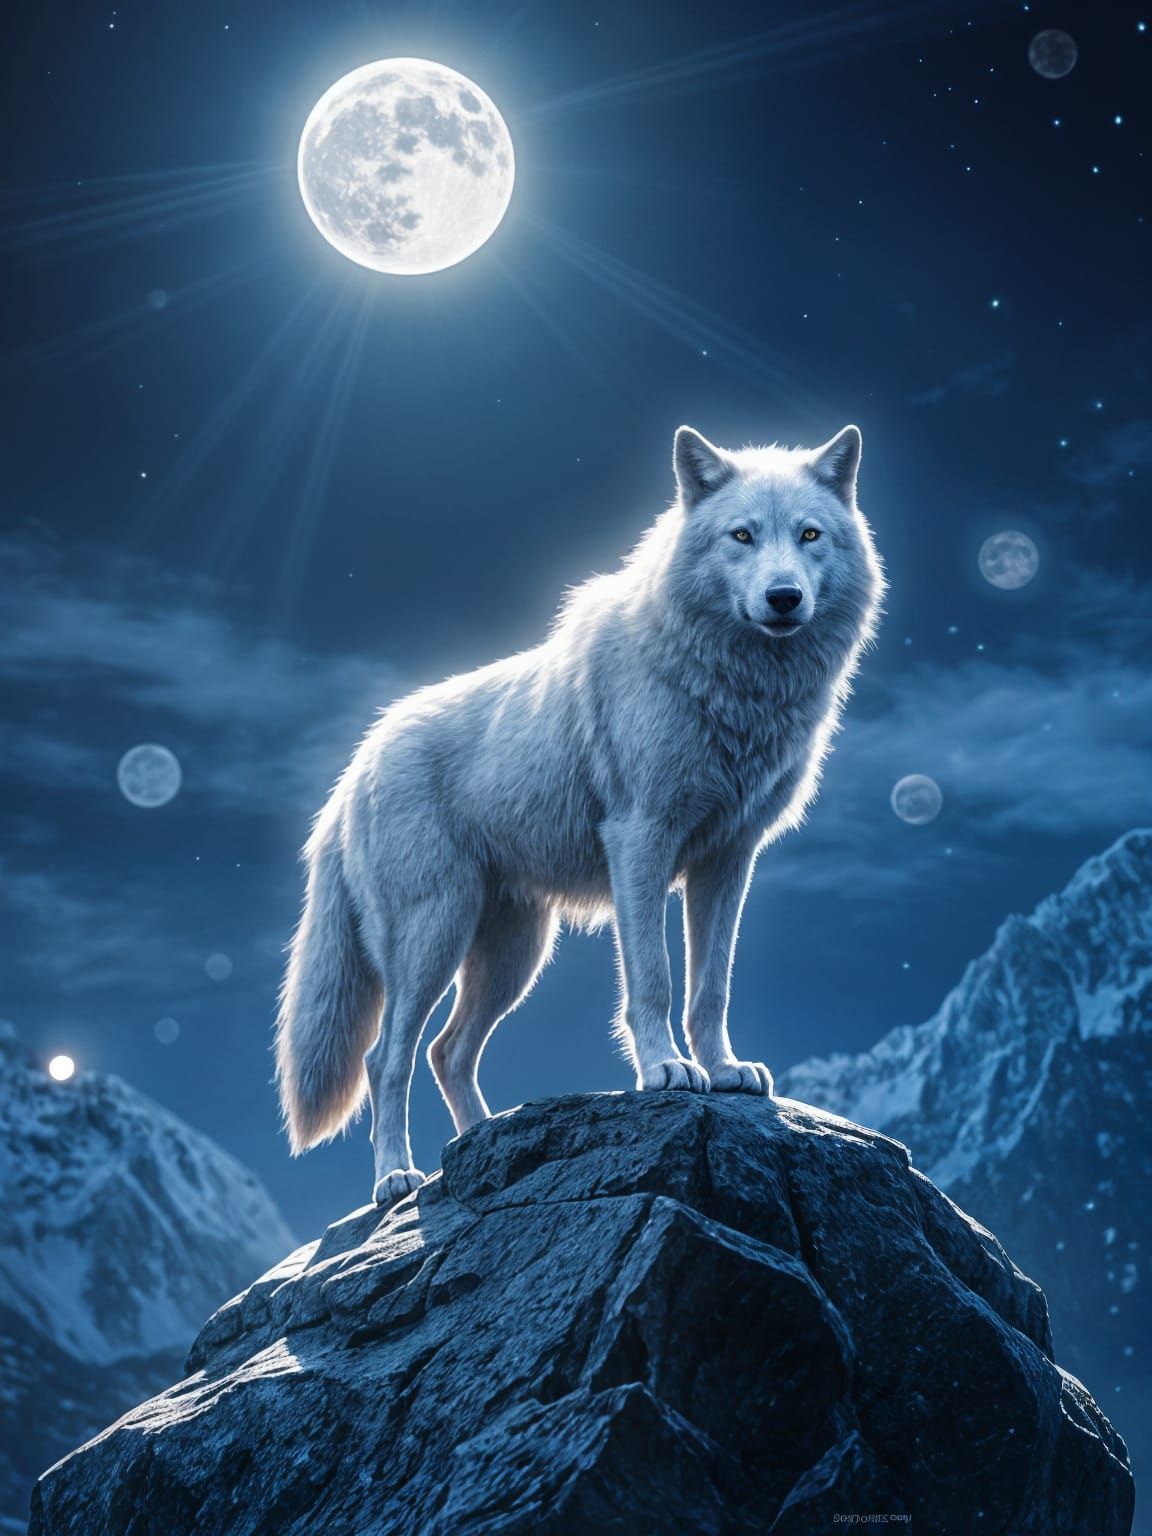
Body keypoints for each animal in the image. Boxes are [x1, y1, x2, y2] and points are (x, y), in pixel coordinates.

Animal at [276, 424, 884, 1204]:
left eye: (809, 535)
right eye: (742, 536)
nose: (785, 597)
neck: (734, 686)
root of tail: (351, 773)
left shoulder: (729, 859)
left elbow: (711, 986)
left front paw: (723, 1071)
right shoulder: (641, 840)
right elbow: (654, 978)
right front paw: (666, 1071)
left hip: (515, 953)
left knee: (447, 1051)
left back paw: (479, 1144)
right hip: (433, 935)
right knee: (388, 1057)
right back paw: (397, 1178)